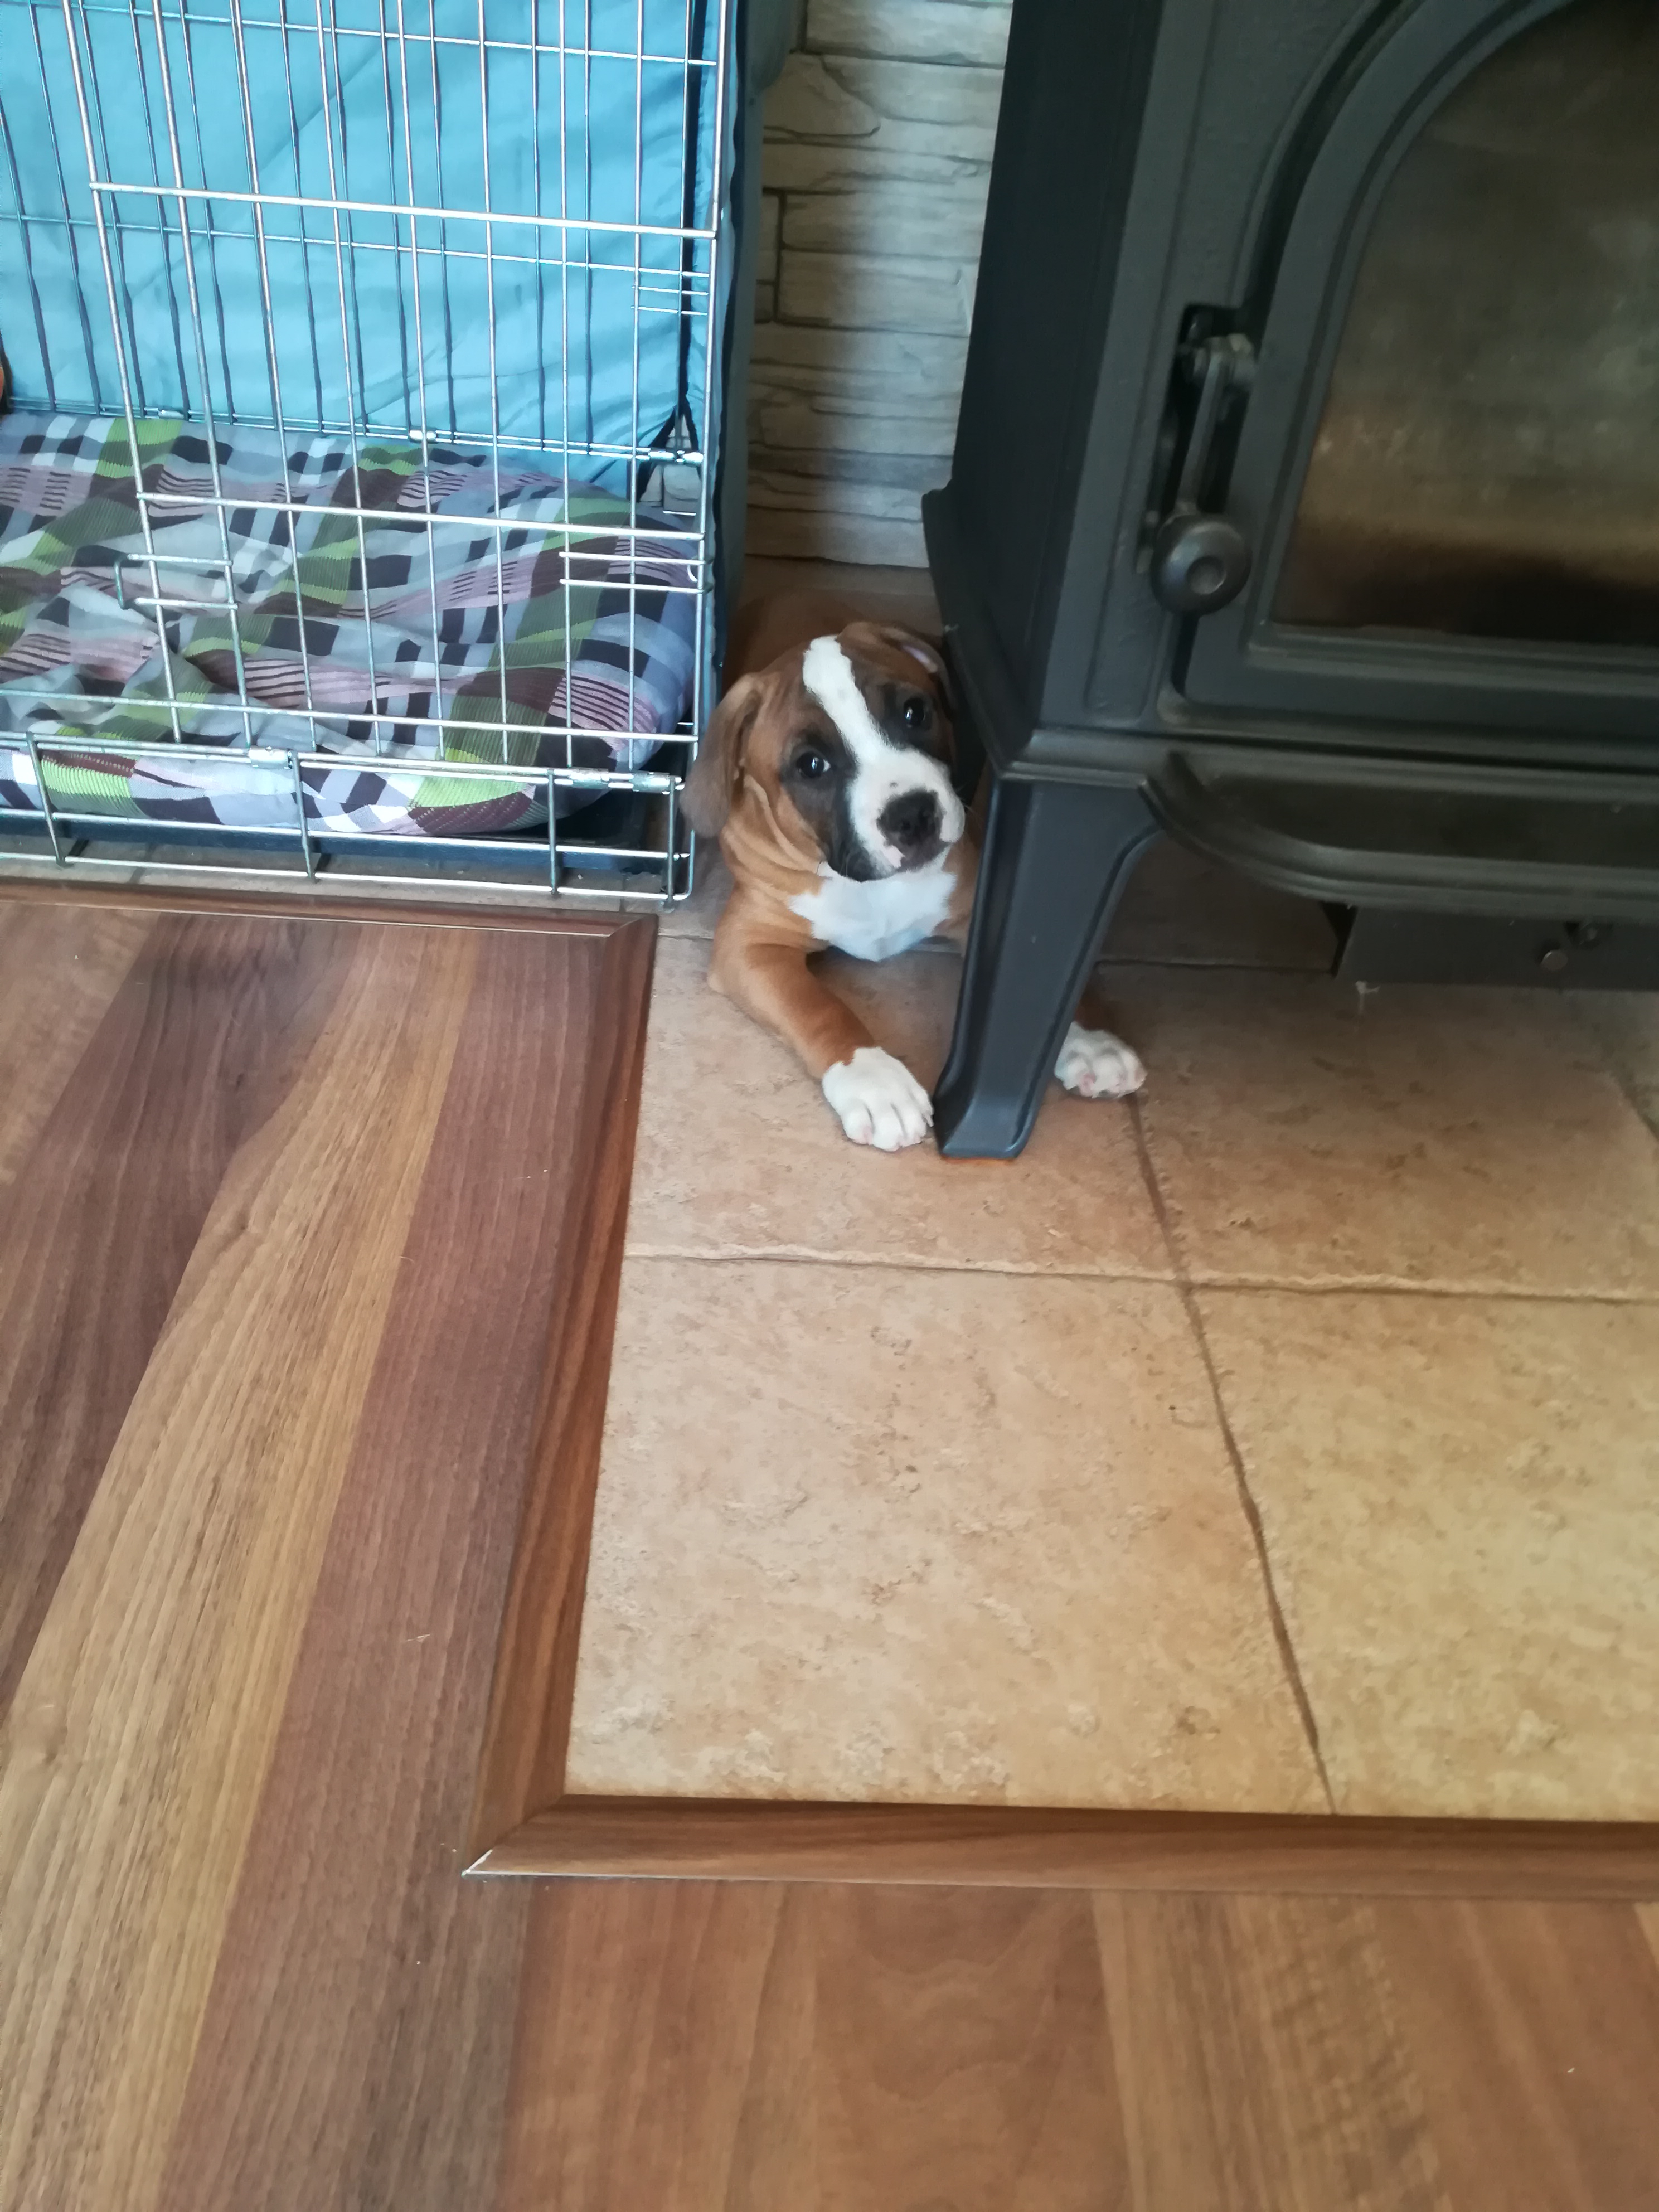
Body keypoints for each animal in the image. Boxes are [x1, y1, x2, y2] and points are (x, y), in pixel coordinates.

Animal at [683, 593, 1145, 1151]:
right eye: (812, 765)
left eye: (914, 712)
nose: (912, 815)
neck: (872, 889)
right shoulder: (749, 945)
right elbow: (817, 1006)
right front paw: (875, 1082)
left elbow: (1047, 979)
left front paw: (1092, 1039)